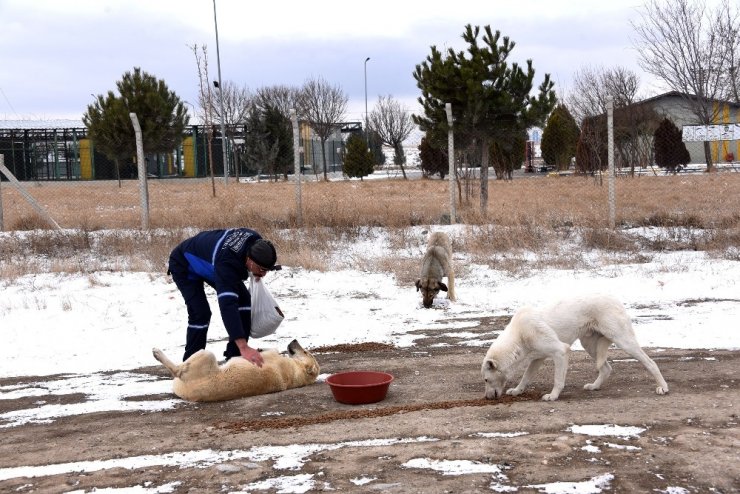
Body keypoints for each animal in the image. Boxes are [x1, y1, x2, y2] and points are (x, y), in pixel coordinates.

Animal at [153, 340, 318, 402]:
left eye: (305, 352)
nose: (294, 340)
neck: (298, 372)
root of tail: (186, 393)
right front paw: (261, 347)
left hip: (203, 362)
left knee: (179, 370)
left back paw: (158, 353)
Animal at [482, 296, 668, 400]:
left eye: (485, 380)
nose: (487, 398)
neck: (519, 336)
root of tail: (615, 299)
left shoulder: (560, 352)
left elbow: (558, 380)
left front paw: (553, 396)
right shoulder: (537, 359)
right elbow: (525, 378)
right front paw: (517, 391)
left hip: (623, 341)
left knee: (651, 363)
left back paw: (663, 387)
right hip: (590, 345)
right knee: (606, 368)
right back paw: (594, 386)